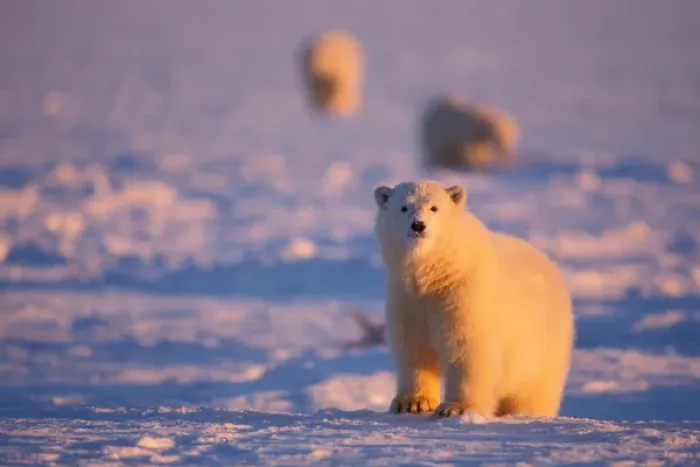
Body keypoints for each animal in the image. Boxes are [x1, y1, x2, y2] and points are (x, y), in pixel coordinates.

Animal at [373, 180, 574, 419]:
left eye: (434, 207)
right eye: (403, 207)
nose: (418, 226)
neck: (437, 270)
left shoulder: (464, 291)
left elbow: (467, 345)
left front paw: (456, 408)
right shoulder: (407, 297)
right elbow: (413, 346)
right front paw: (413, 403)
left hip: (542, 347)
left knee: (533, 391)